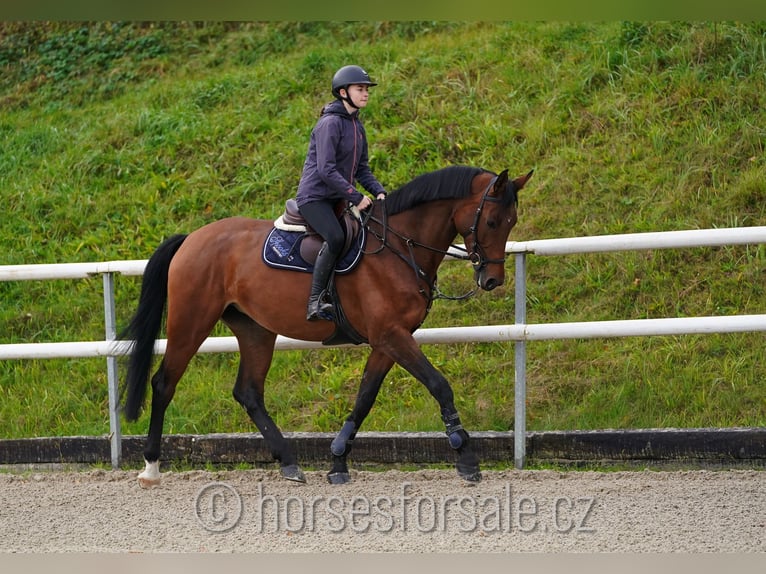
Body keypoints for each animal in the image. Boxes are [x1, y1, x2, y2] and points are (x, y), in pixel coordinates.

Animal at [121, 164, 536, 488]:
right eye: (492, 221)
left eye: (511, 222)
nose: (492, 280)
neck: (398, 247)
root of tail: (191, 238)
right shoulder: (392, 335)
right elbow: (439, 385)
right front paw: (465, 456)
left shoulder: (388, 339)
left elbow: (365, 397)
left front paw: (338, 459)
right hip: (192, 321)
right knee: (164, 383)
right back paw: (151, 467)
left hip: (256, 330)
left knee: (249, 393)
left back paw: (290, 462)